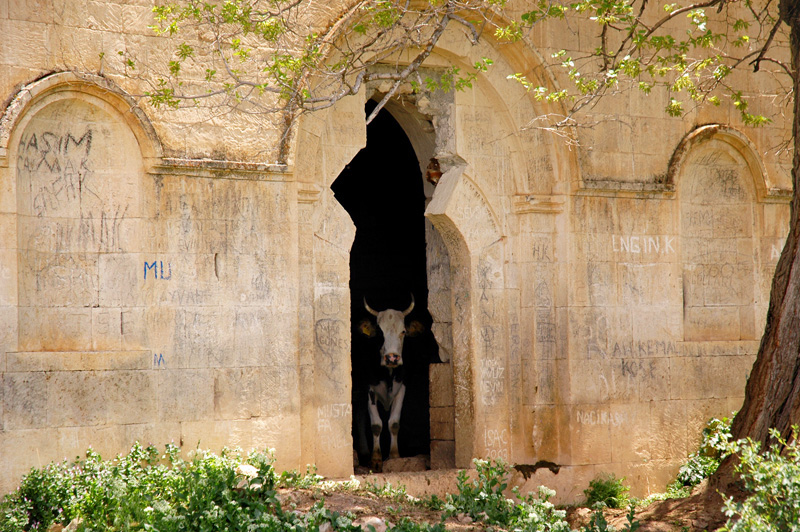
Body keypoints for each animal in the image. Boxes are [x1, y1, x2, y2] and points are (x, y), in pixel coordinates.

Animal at [356, 294, 422, 472]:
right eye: (380, 332)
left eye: (403, 331)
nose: (392, 357)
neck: (388, 374)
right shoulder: (369, 387)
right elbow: (376, 425)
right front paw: (376, 459)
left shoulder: (402, 386)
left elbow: (394, 423)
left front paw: (394, 456)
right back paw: (364, 452)